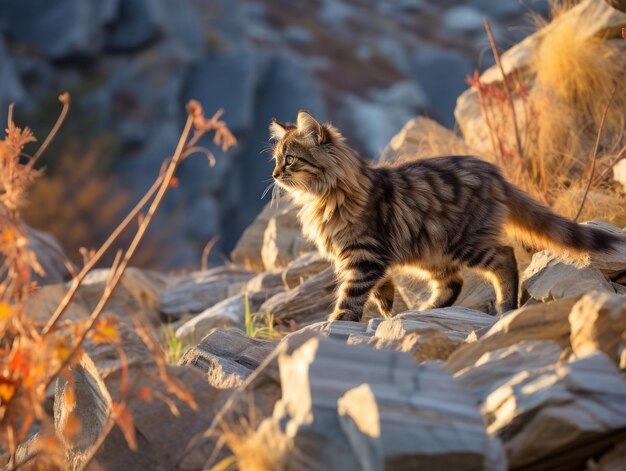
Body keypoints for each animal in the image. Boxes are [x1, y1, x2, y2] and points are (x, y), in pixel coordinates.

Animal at [266, 112, 620, 322]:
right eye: (276, 159)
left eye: (290, 160)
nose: (274, 175)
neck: (322, 196)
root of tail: (495, 174)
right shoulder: (361, 258)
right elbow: (381, 291)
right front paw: (387, 313)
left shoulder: (364, 255)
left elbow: (351, 297)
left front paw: (337, 324)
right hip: (430, 252)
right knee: (453, 283)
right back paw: (426, 311)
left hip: (463, 241)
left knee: (504, 258)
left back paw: (506, 305)